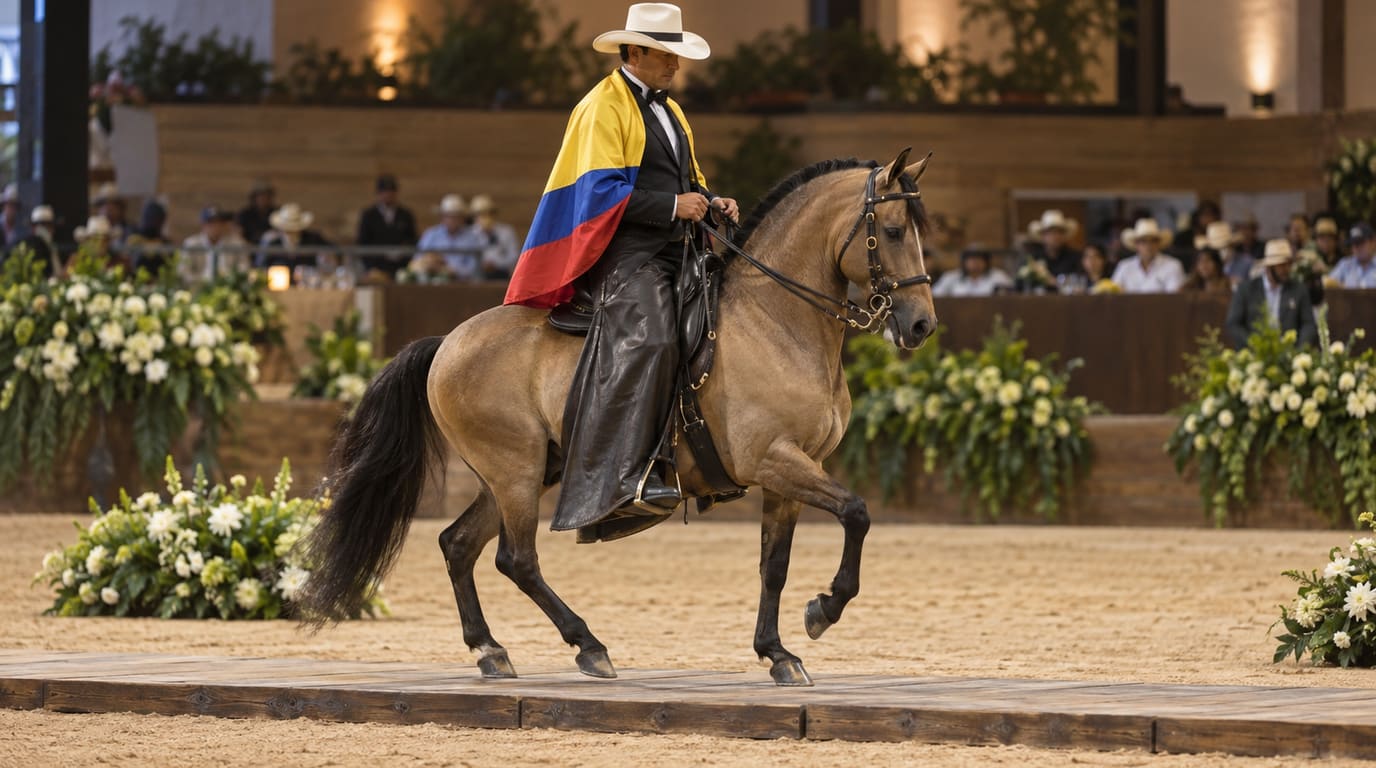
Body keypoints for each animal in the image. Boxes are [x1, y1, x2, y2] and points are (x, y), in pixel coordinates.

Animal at [298, 148, 938, 687]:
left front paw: (779, 652)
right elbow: (856, 512)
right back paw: (588, 645)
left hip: (525, 472)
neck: (778, 320)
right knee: (516, 558)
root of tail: (447, 342)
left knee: (458, 545)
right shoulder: (775, 460)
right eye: (894, 231)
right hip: (515, 471)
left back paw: (491, 650)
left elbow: (773, 565)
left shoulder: (792, 472)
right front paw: (824, 609)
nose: (921, 325)